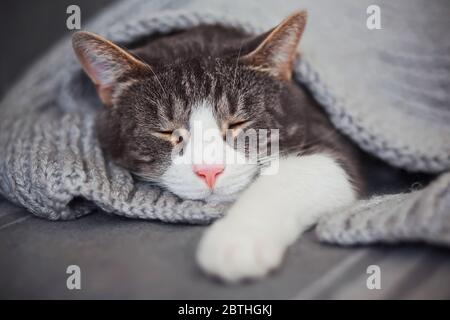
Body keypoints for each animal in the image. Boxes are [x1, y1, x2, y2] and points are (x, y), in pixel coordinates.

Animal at [72, 11, 364, 282]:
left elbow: (302, 173)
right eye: (166, 132)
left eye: (237, 123)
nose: (209, 171)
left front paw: (238, 239)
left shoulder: (323, 134)